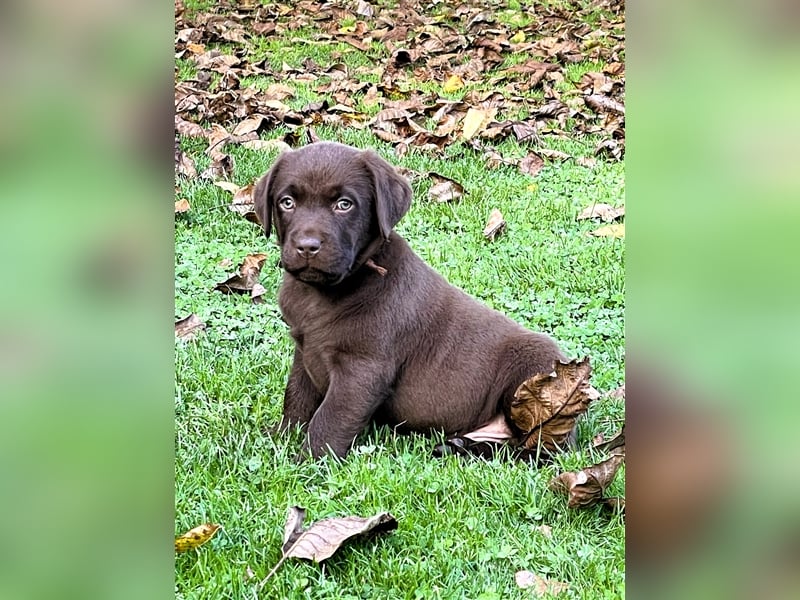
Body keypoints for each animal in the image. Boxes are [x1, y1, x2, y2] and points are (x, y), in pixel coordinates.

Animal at [255, 142, 564, 460]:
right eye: (287, 202)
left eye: (344, 204)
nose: (307, 246)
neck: (322, 294)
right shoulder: (304, 350)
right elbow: (297, 396)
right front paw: (283, 436)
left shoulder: (362, 370)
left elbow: (330, 417)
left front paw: (309, 461)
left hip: (535, 371)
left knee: (536, 444)